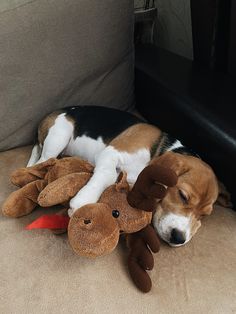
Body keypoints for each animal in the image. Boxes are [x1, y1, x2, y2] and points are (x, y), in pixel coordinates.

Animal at [28, 106, 219, 247]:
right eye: (182, 195)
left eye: (203, 215)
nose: (179, 238)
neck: (159, 150)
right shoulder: (110, 154)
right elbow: (108, 174)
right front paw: (83, 200)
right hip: (60, 135)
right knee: (42, 161)